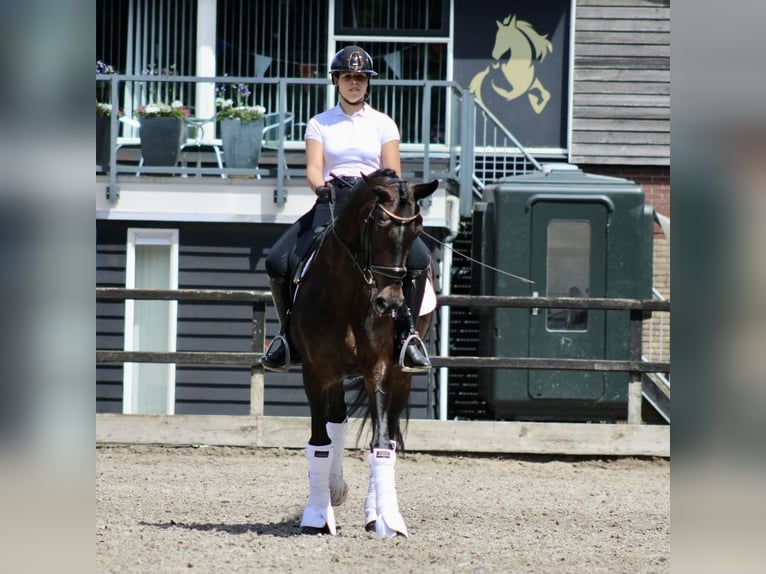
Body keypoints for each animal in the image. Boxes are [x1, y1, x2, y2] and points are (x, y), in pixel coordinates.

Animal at [292, 169, 438, 536]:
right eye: (380, 226)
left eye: (417, 229)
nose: (391, 304)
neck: (347, 294)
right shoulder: (316, 372)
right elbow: (320, 443)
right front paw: (318, 514)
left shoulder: (379, 370)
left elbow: (381, 444)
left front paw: (387, 519)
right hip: (333, 376)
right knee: (337, 423)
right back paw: (334, 490)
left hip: (400, 375)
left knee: (388, 432)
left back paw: (374, 508)